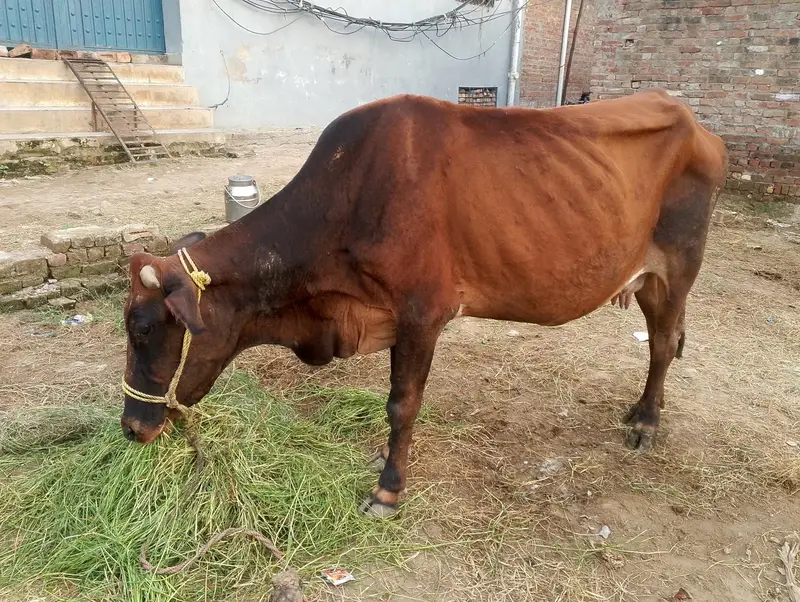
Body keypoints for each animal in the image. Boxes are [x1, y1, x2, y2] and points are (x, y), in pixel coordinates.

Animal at [121, 89, 728, 517]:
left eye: (143, 329)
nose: (132, 429)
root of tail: (698, 125)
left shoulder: (421, 315)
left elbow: (402, 405)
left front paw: (388, 491)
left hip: (678, 267)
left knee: (663, 343)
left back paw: (646, 422)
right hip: (649, 279)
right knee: (666, 340)